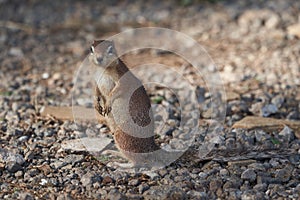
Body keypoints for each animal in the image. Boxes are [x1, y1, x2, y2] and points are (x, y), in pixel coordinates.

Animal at [88, 39, 183, 169]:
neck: (102, 69)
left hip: (121, 136)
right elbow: (96, 91)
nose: (99, 58)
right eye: (91, 49)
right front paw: (96, 104)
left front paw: (107, 103)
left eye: (110, 49)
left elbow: (116, 91)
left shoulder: (122, 79)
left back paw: (117, 164)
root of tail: (151, 147)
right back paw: (112, 152)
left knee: (136, 162)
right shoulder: (96, 81)